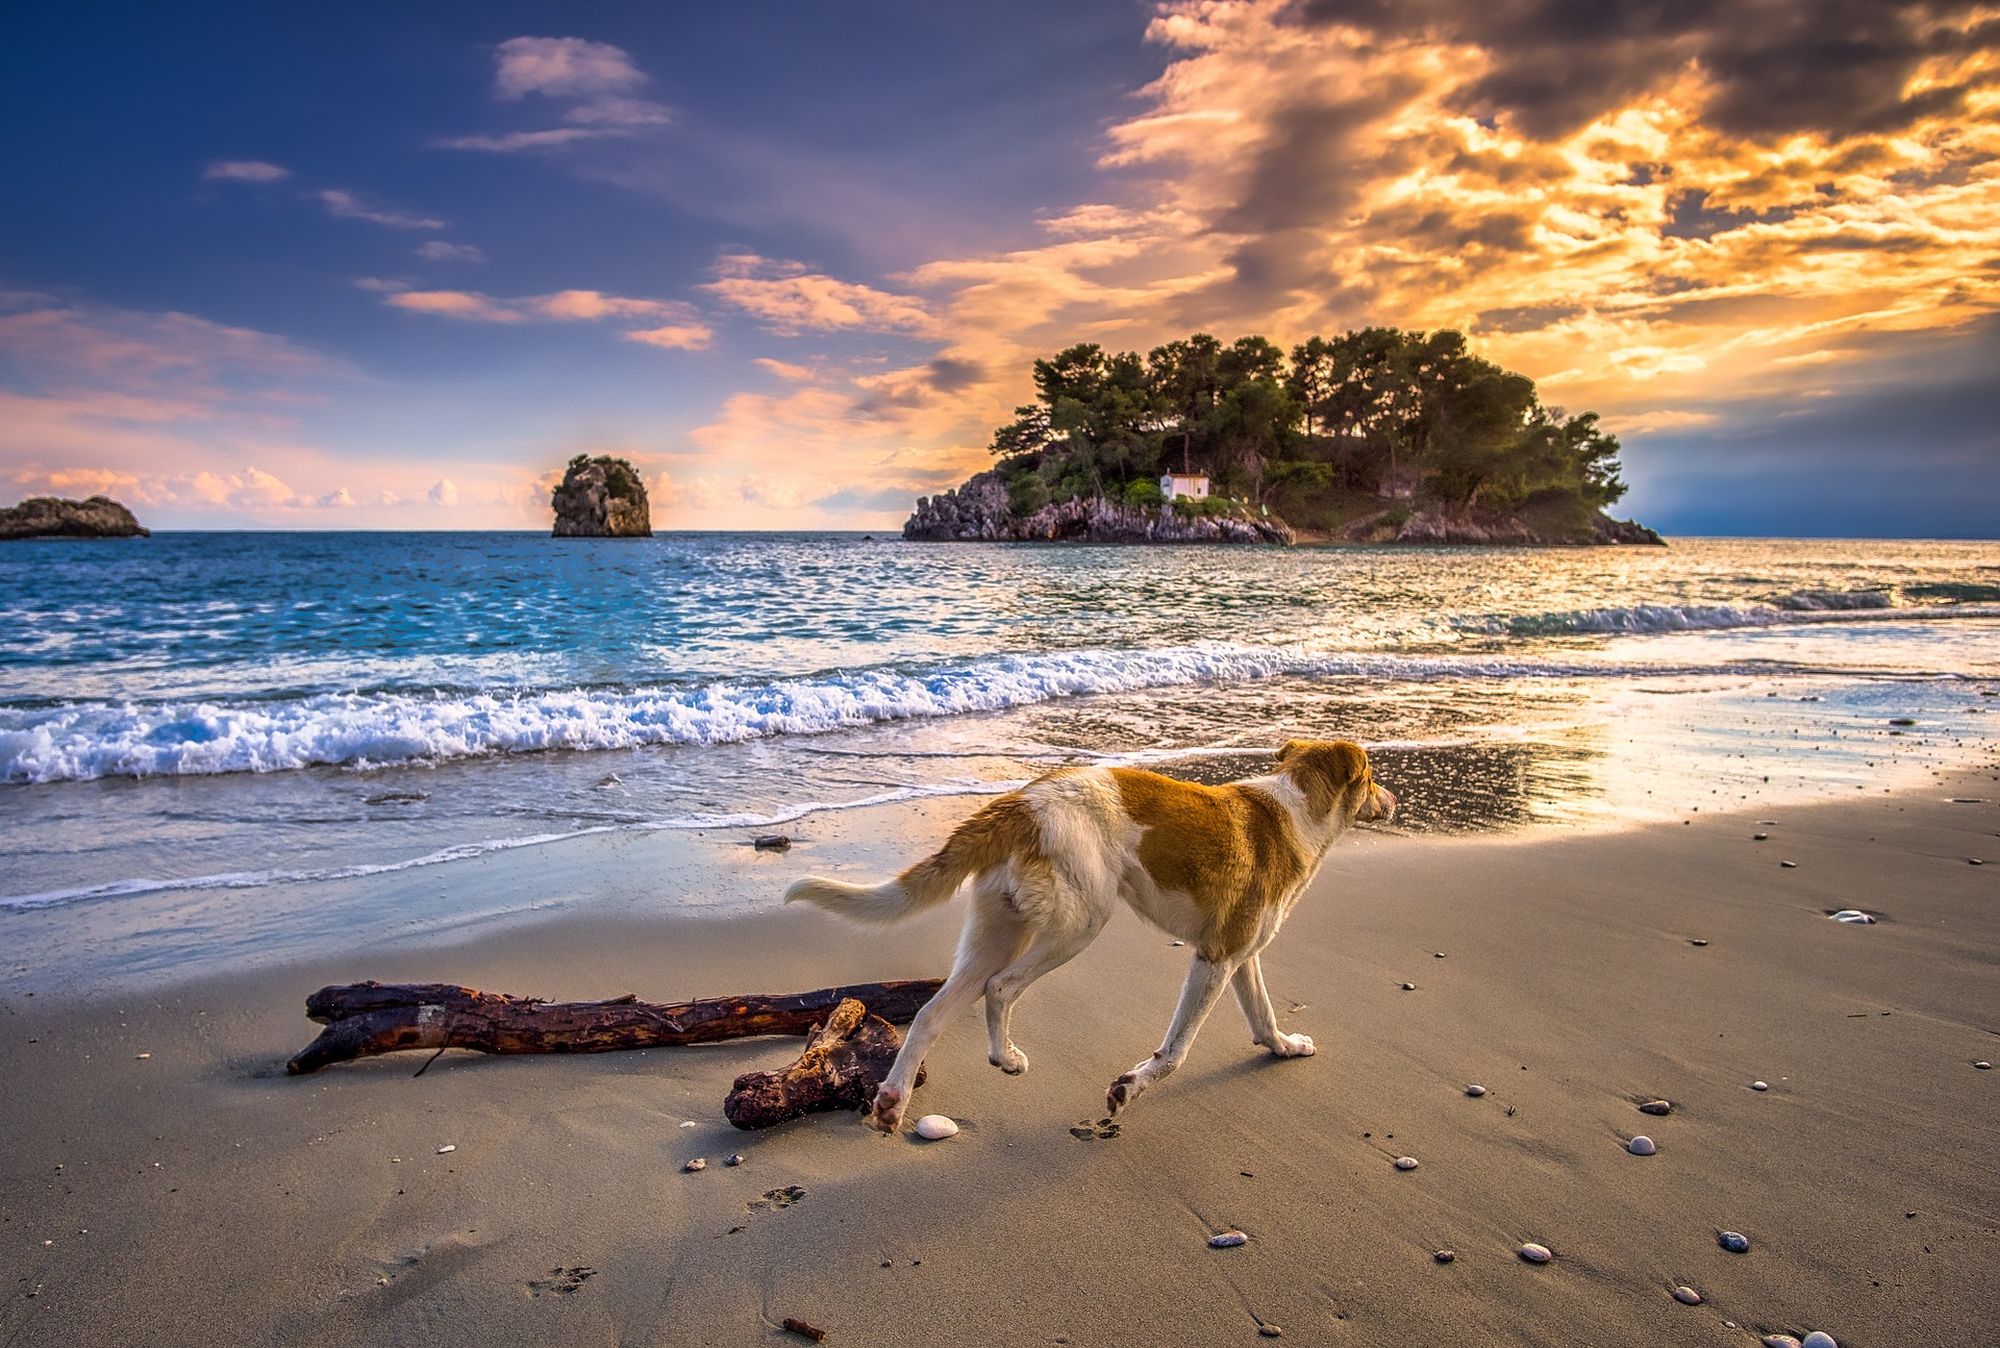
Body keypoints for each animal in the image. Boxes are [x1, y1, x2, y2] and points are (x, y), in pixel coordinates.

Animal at [780, 740, 1392, 1128]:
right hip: (1079, 924)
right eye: (1371, 777)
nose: (1393, 801)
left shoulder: (1241, 956)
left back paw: (892, 1101)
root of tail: (1020, 801)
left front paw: (1284, 1048)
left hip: (996, 932)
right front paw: (1129, 1088)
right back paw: (1003, 1058)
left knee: (932, 1012)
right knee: (1000, 987)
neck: (1295, 809)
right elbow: (1176, 1051)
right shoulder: (1215, 958)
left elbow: (1263, 1016)